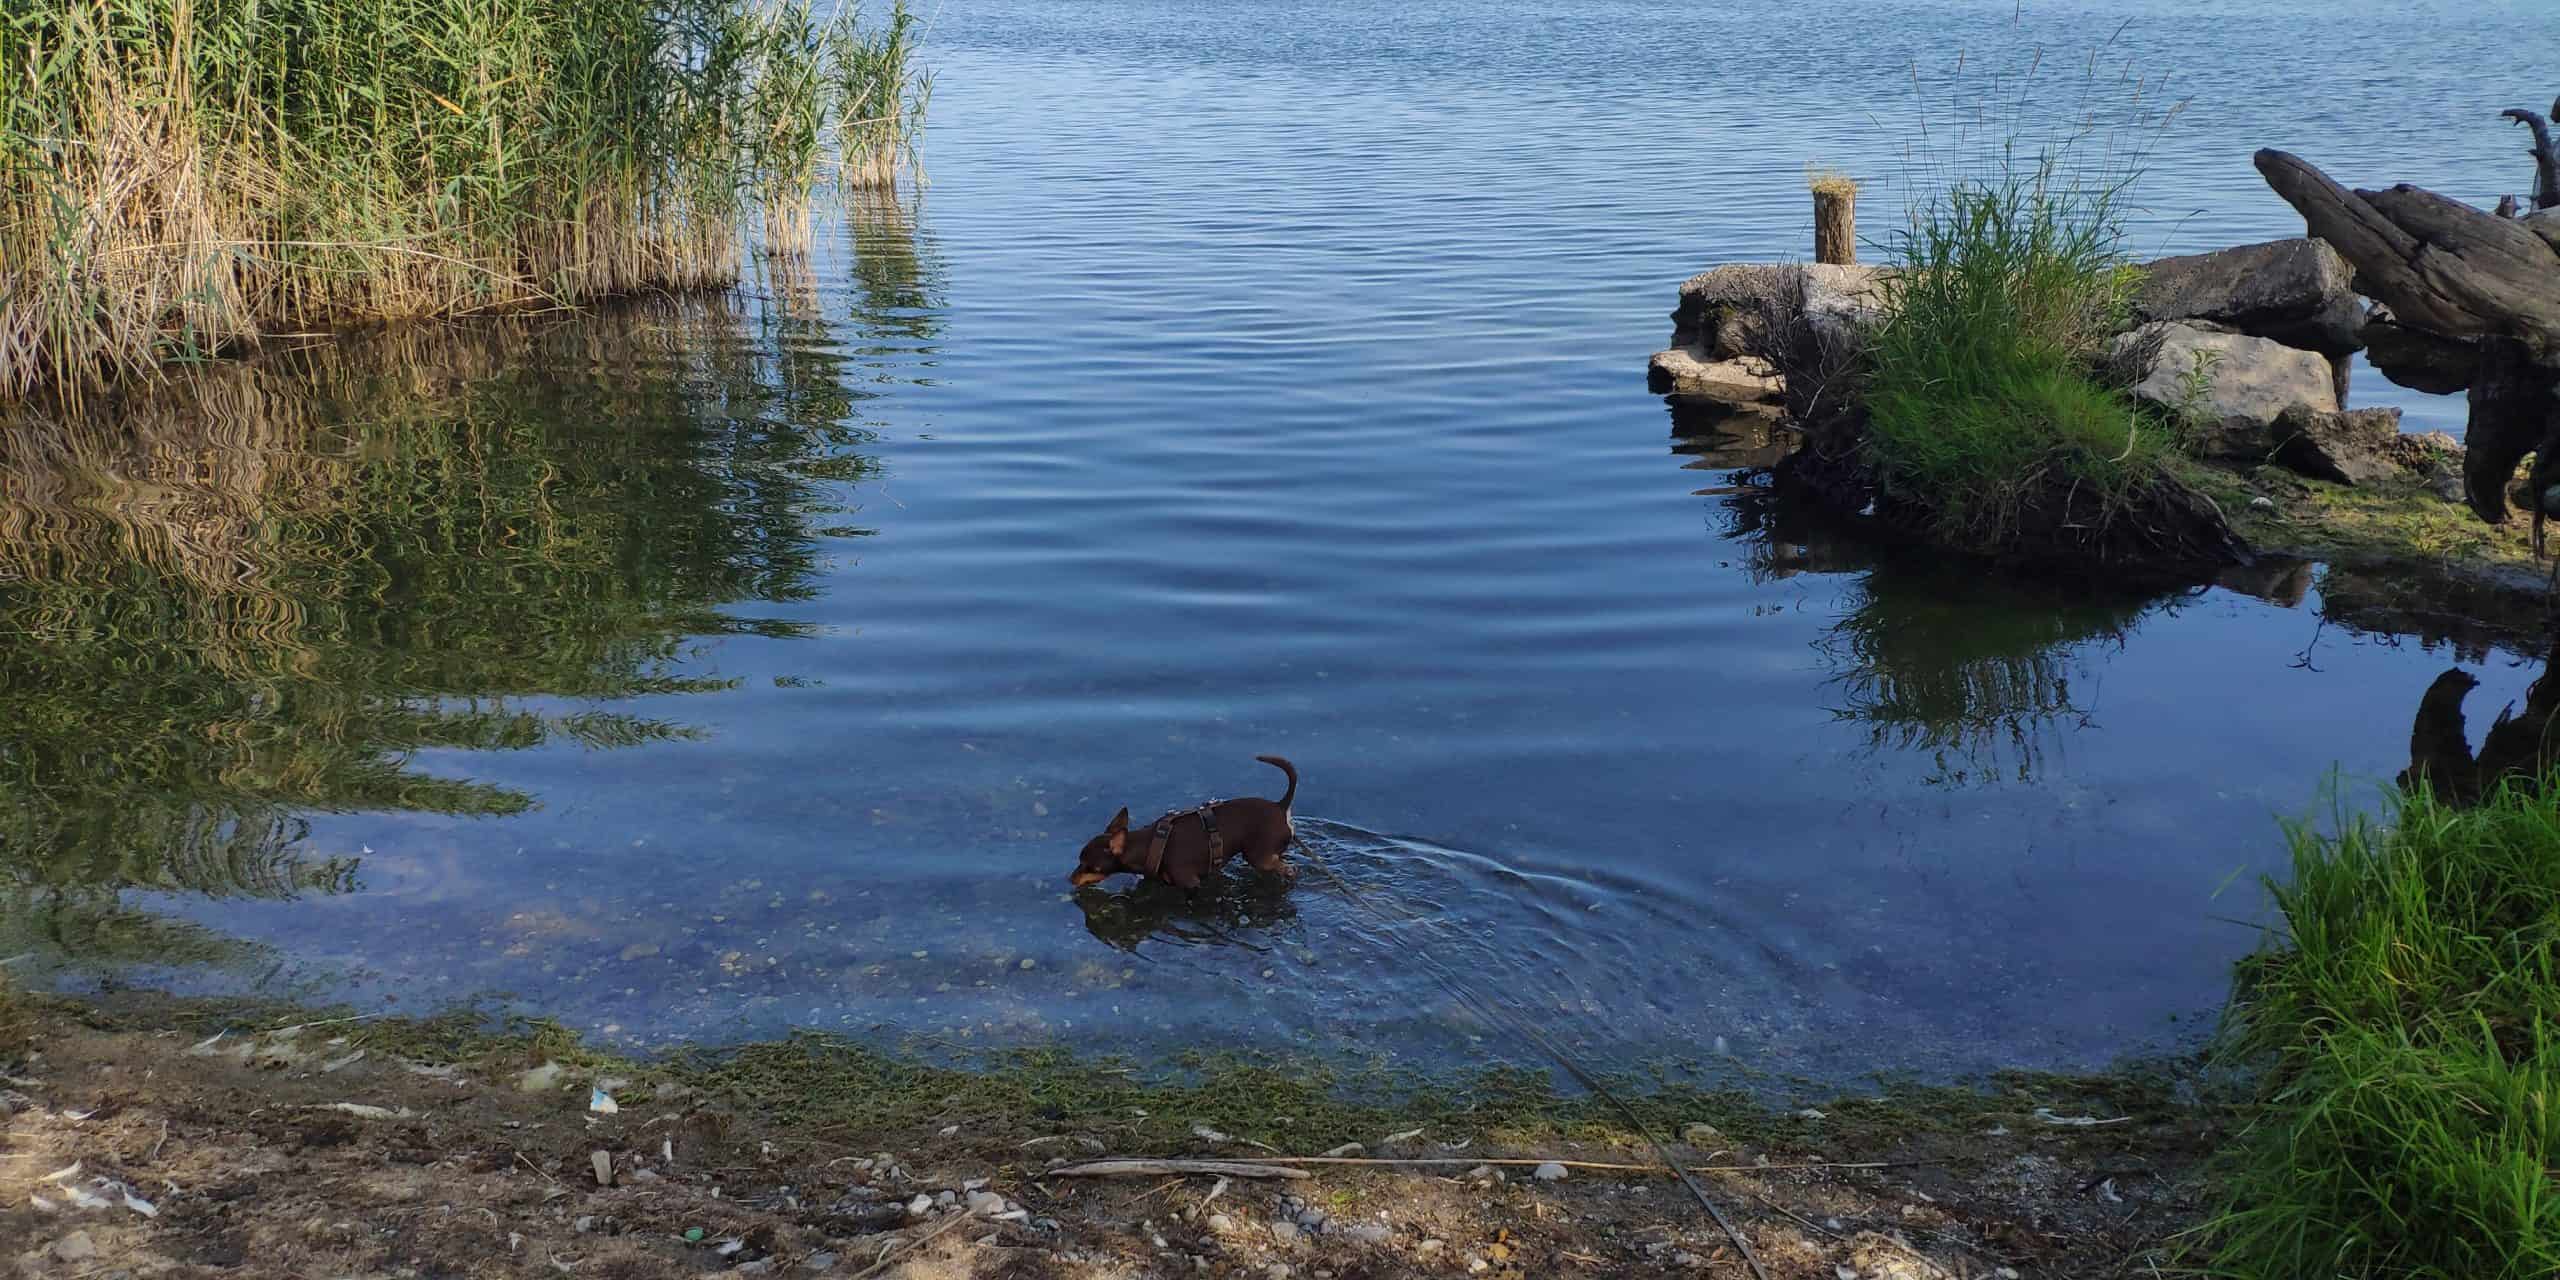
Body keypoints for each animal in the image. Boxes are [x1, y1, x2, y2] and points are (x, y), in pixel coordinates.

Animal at [1070, 752, 1300, 885]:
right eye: (1079, 862)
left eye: (1090, 866)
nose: (1070, 879)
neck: (1149, 845)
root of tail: (1281, 805)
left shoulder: (1190, 882)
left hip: (1259, 857)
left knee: (1287, 869)